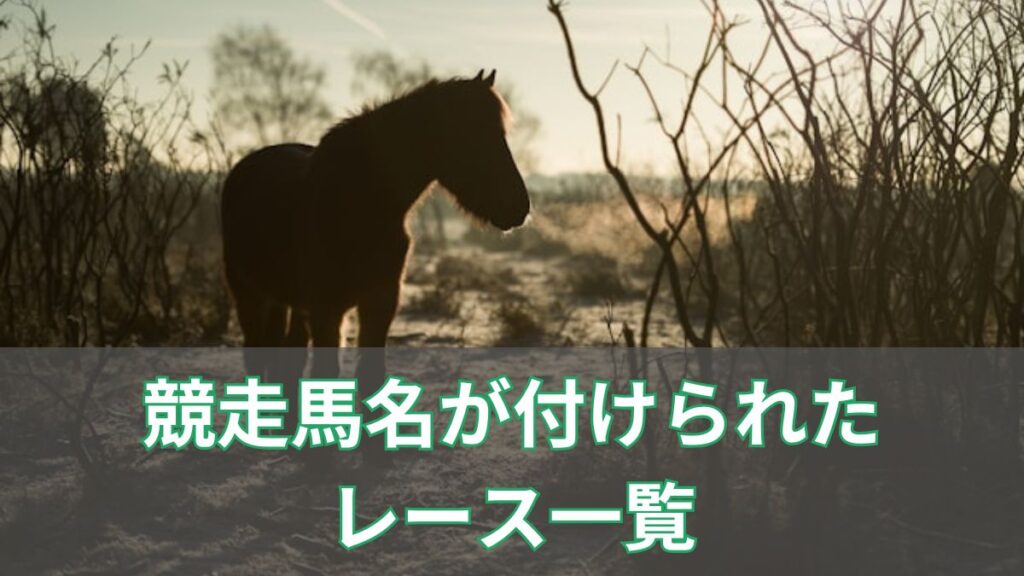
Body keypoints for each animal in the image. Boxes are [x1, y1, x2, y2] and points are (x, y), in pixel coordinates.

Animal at [221, 70, 530, 383]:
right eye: (472, 134)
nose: (520, 207)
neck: (361, 204)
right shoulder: (326, 310)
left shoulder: (380, 302)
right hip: (249, 296)